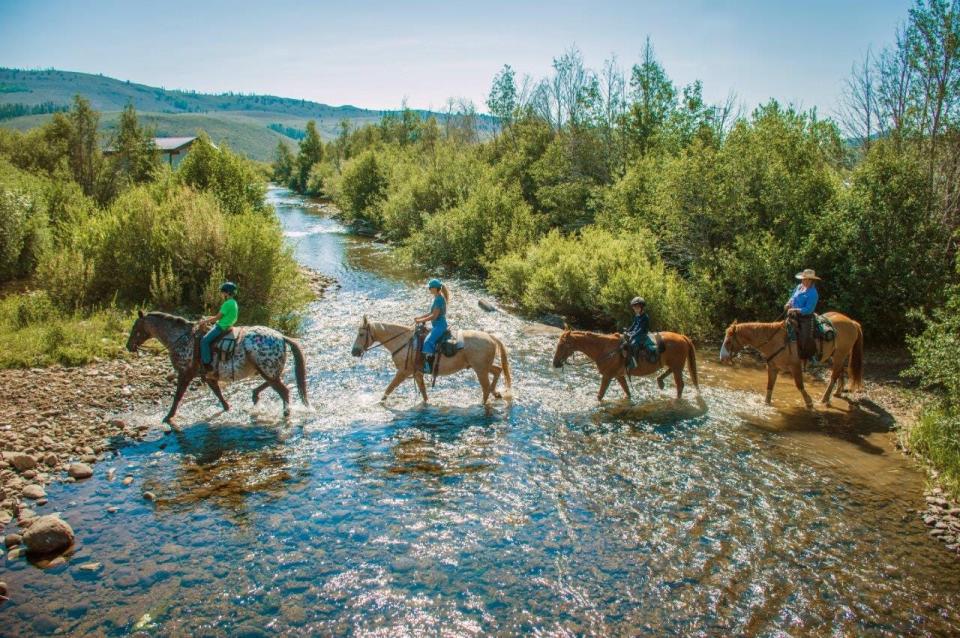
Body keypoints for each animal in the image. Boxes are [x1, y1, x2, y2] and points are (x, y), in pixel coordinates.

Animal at [125, 312, 310, 424]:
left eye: (135, 327)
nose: (128, 346)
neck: (181, 339)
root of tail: (282, 337)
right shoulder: (208, 376)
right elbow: (218, 394)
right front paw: (227, 408)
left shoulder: (185, 374)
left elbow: (178, 397)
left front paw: (168, 417)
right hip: (266, 370)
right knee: (274, 384)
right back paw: (255, 395)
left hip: (266, 370)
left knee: (283, 391)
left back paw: (285, 414)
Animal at [350, 318, 512, 408]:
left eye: (361, 334)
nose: (354, 352)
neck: (404, 342)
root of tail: (491, 337)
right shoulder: (417, 373)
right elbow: (423, 392)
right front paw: (426, 404)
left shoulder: (403, 372)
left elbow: (390, 388)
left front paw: (380, 402)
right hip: (482, 367)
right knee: (497, 371)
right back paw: (496, 393)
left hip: (480, 370)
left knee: (485, 387)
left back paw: (482, 404)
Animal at [552, 328, 700, 402]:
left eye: (562, 345)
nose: (555, 363)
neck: (604, 348)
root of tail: (683, 337)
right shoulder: (619, 376)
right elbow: (627, 392)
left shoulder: (607, 376)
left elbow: (600, 395)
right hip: (675, 366)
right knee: (670, 373)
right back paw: (660, 381)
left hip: (677, 367)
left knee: (680, 385)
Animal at [720, 312, 864, 410]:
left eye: (728, 341)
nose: (722, 358)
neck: (774, 340)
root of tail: (852, 322)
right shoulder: (773, 367)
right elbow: (770, 386)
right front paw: (766, 404)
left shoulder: (795, 366)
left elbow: (799, 385)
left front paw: (809, 402)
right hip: (836, 356)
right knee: (840, 372)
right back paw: (837, 392)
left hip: (840, 355)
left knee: (834, 375)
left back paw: (824, 398)